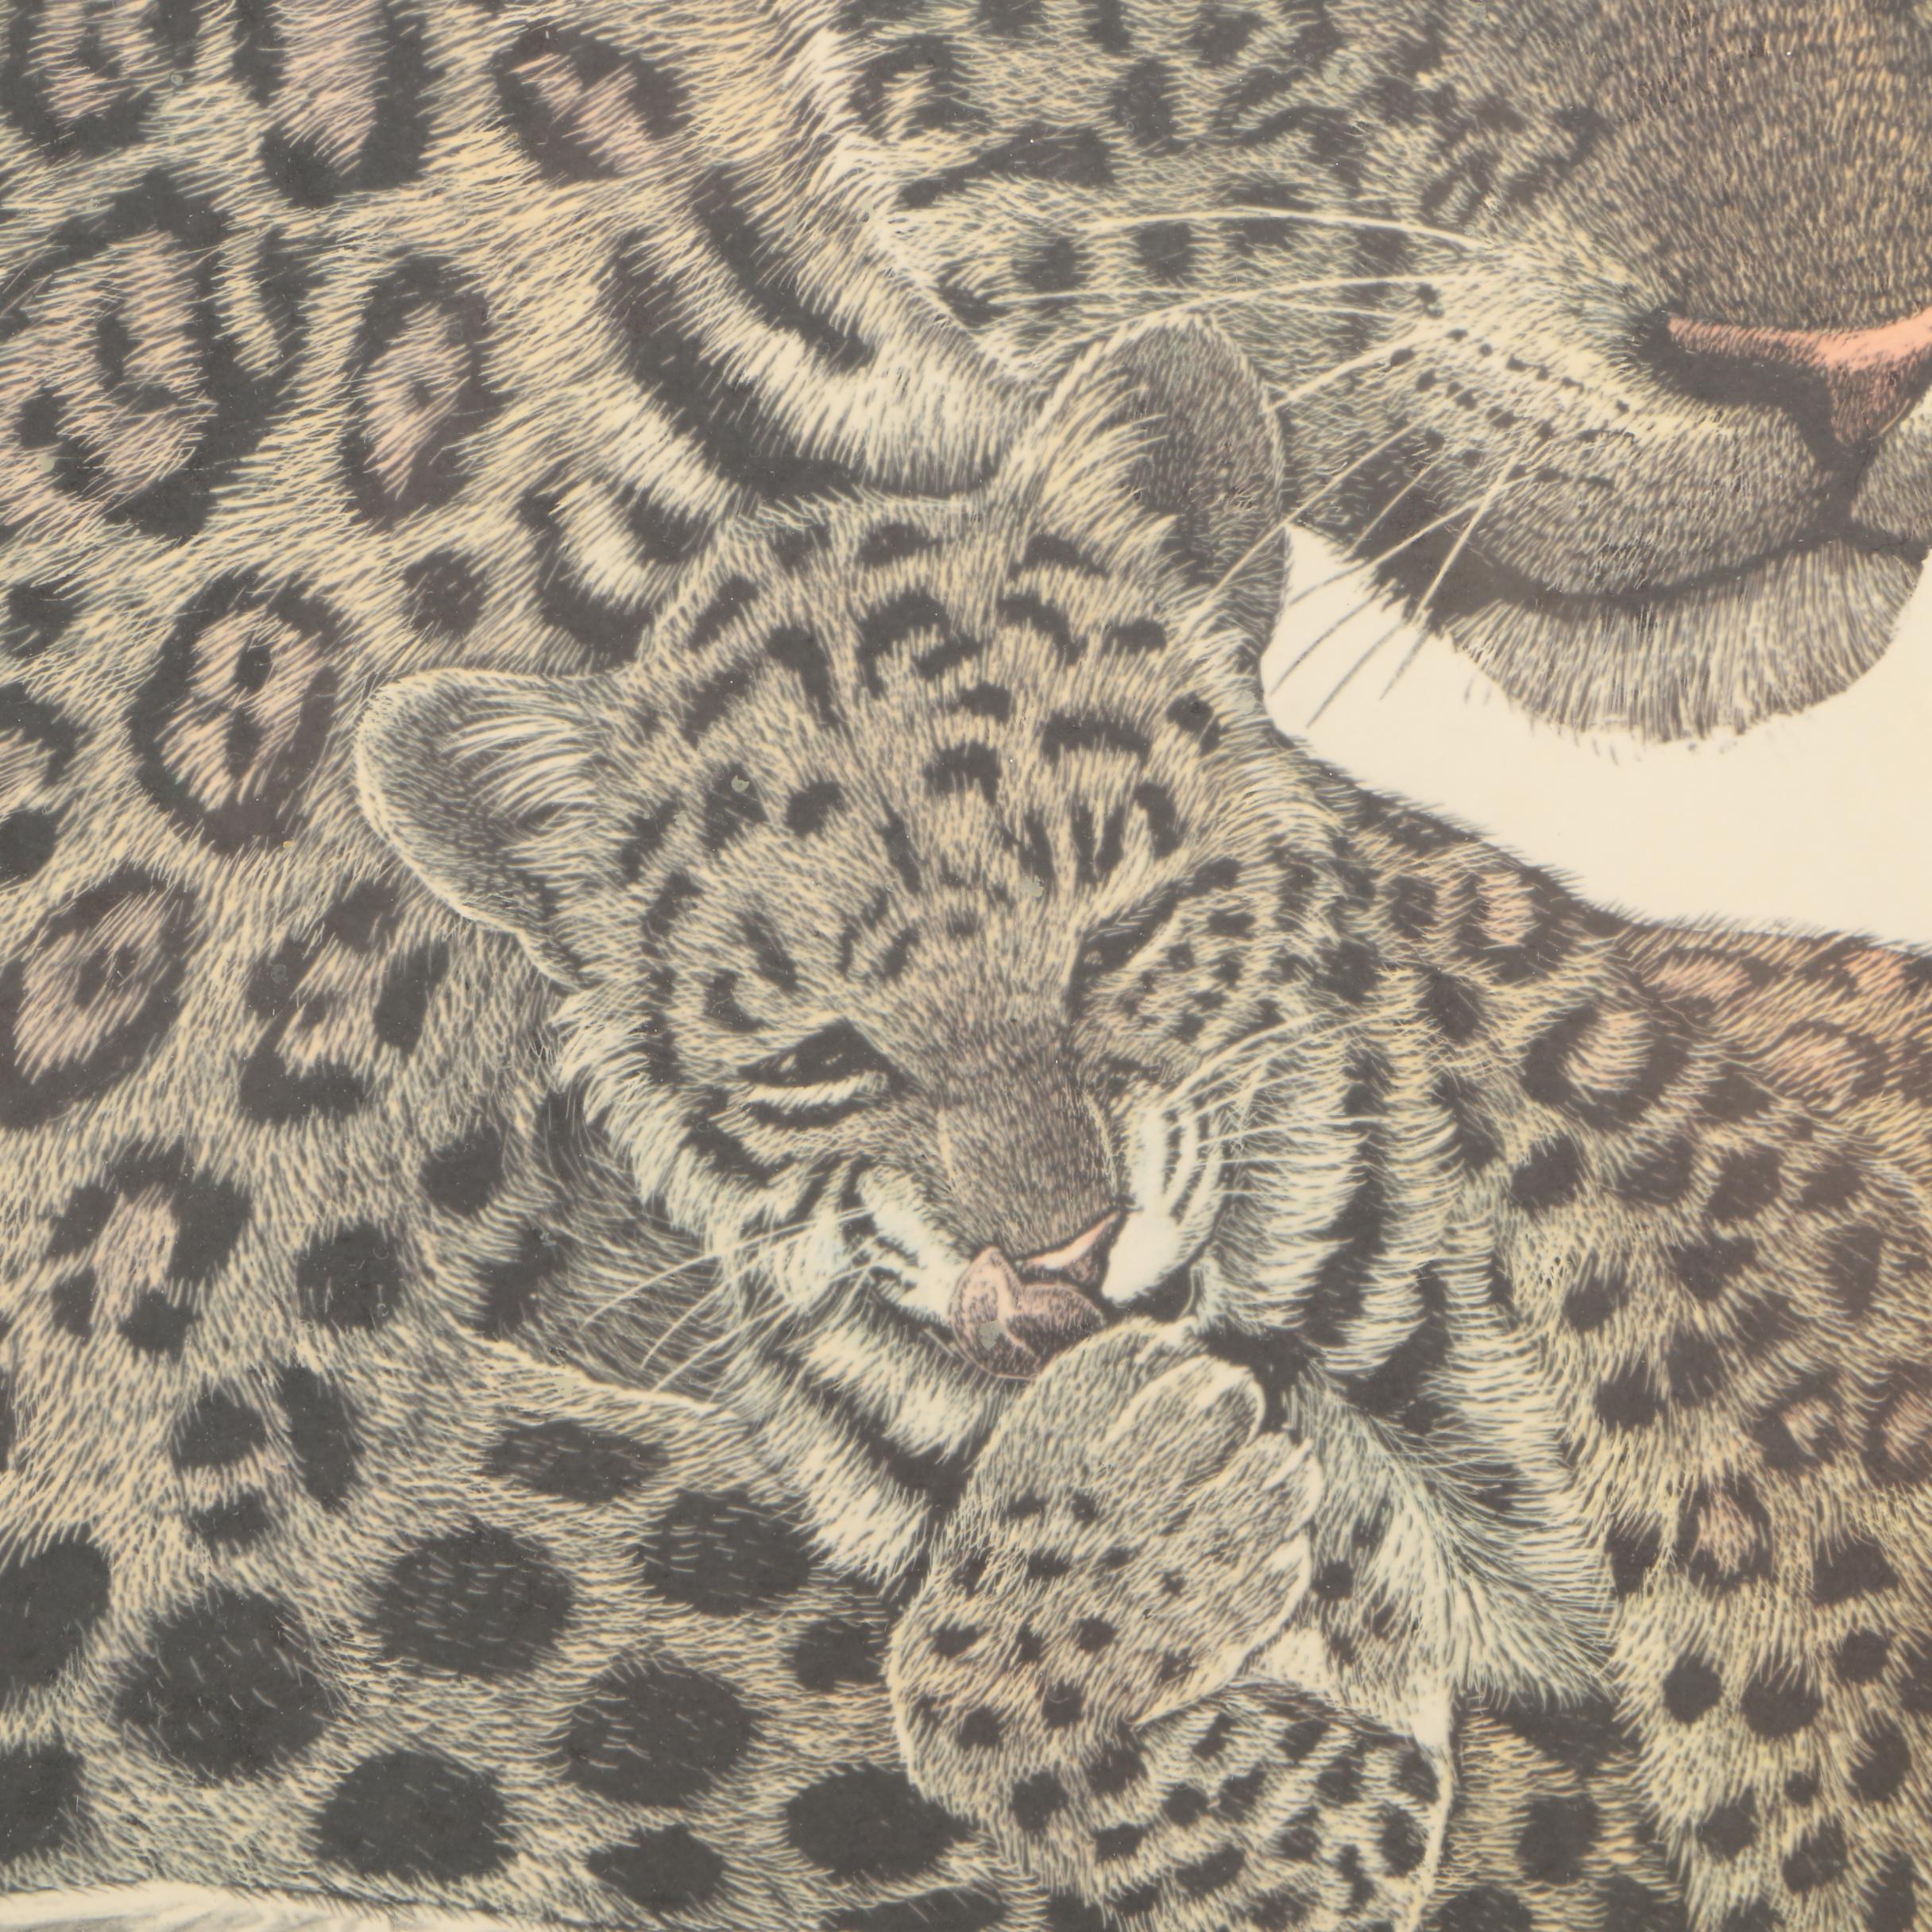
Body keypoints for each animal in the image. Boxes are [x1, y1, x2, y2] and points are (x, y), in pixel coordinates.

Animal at [360, 309, 1932, 1932]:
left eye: (1116, 938)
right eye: (824, 1055)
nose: (1060, 1252)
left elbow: (1811, 1723)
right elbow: (1006, 1723)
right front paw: (1114, 1518)